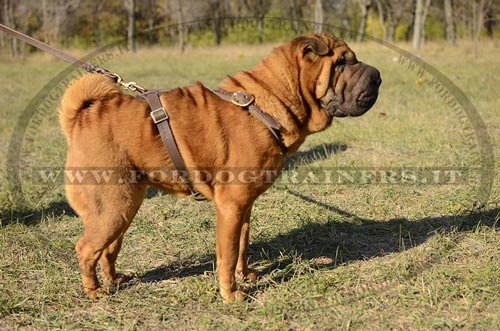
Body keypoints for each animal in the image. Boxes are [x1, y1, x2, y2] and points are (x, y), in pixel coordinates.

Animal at [59, 33, 378, 304]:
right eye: (341, 63)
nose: (377, 76)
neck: (267, 106)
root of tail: (82, 115)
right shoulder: (230, 205)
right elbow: (227, 253)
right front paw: (231, 294)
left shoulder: (244, 205)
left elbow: (242, 245)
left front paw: (245, 275)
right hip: (114, 206)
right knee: (85, 249)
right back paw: (94, 291)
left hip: (122, 206)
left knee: (108, 249)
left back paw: (114, 280)